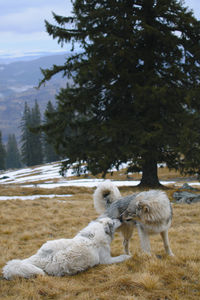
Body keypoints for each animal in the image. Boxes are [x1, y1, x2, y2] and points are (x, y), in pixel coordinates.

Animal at [3, 218, 131, 278]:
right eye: (113, 221)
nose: (120, 219)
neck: (98, 231)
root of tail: (38, 257)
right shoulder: (106, 260)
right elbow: (121, 257)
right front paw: (128, 256)